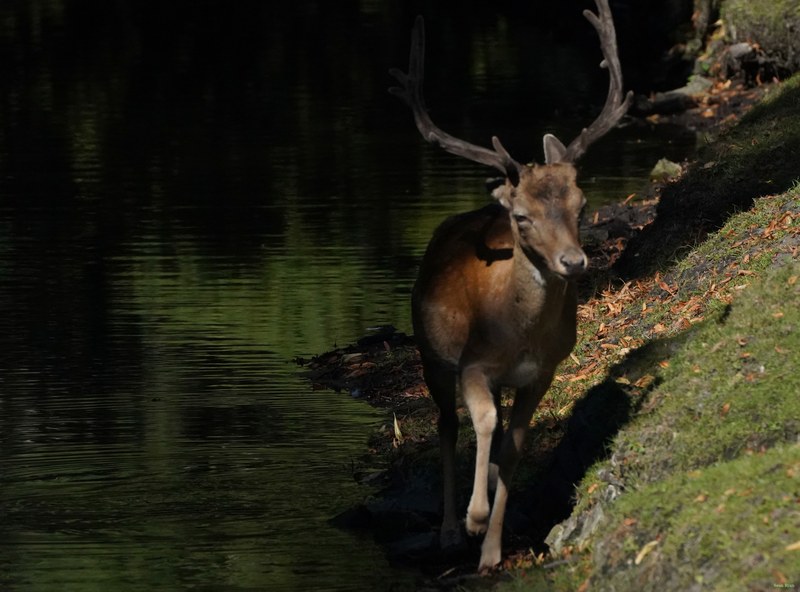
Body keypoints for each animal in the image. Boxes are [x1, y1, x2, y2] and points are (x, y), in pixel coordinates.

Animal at [389, 0, 632, 573]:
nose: (573, 261)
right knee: (446, 425)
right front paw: (475, 522)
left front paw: (493, 550)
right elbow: (481, 423)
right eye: (522, 217)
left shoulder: (543, 371)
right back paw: (449, 531)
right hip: (430, 354)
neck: (518, 333)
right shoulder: (473, 362)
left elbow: (514, 445)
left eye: (581, 204)